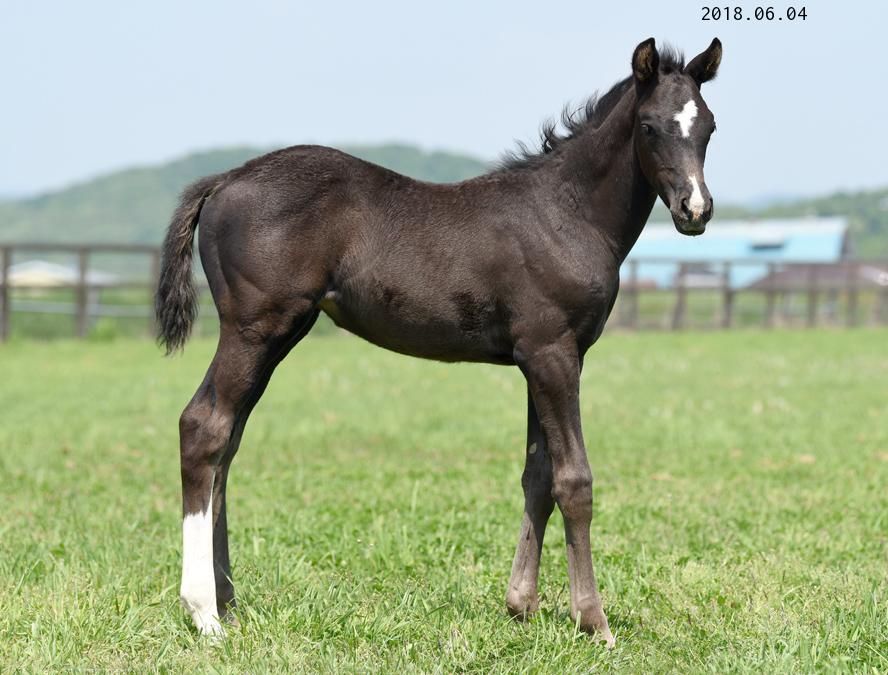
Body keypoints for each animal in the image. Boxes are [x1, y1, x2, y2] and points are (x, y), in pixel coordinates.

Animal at [155, 37, 722, 646]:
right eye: (649, 126)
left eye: (709, 125)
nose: (695, 210)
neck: (568, 213)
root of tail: (225, 178)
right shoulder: (553, 354)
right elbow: (574, 480)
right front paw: (593, 622)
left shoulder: (541, 357)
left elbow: (537, 476)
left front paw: (521, 605)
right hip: (252, 329)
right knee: (204, 428)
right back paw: (205, 614)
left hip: (279, 334)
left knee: (228, 442)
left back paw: (229, 601)